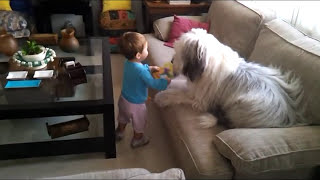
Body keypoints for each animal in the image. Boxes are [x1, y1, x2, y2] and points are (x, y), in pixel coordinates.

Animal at [155, 28, 304, 128]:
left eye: (179, 52)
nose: (172, 61)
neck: (206, 64)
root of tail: (289, 117)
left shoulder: (200, 98)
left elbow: (179, 94)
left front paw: (163, 97)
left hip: (240, 105)